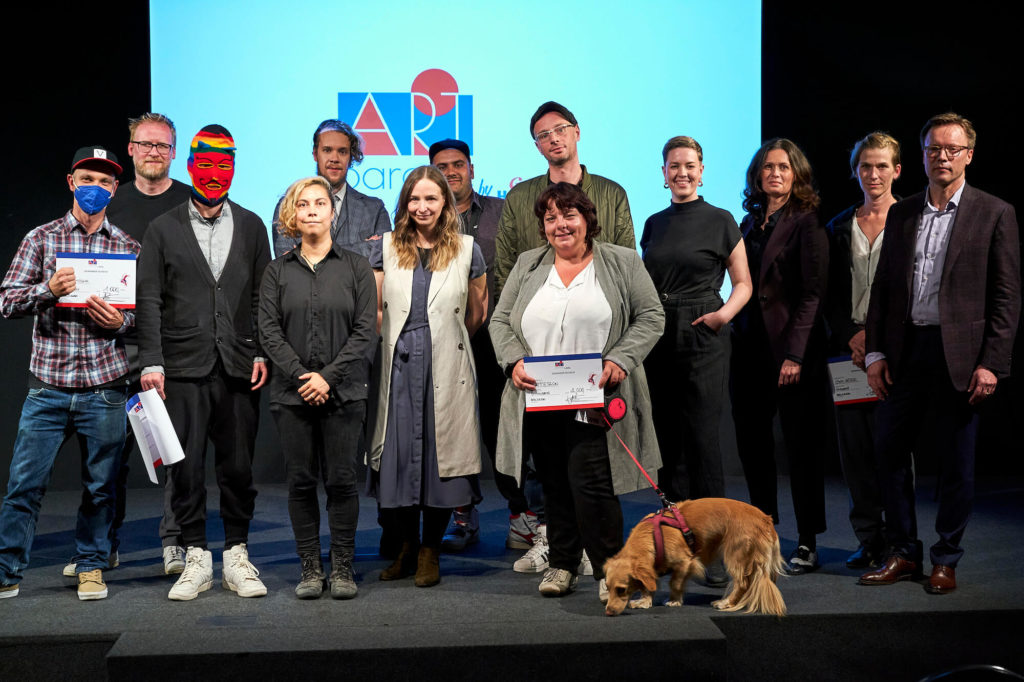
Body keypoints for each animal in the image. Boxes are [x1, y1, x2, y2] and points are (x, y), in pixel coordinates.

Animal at [602, 497, 786, 614]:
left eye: (621, 590)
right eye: (608, 588)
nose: (608, 612)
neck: (652, 536)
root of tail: (766, 520)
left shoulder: (685, 562)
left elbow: (675, 583)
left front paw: (674, 600)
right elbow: (648, 585)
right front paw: (645, 601)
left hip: (735, 557)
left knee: (742, 583)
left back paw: (726, 603)